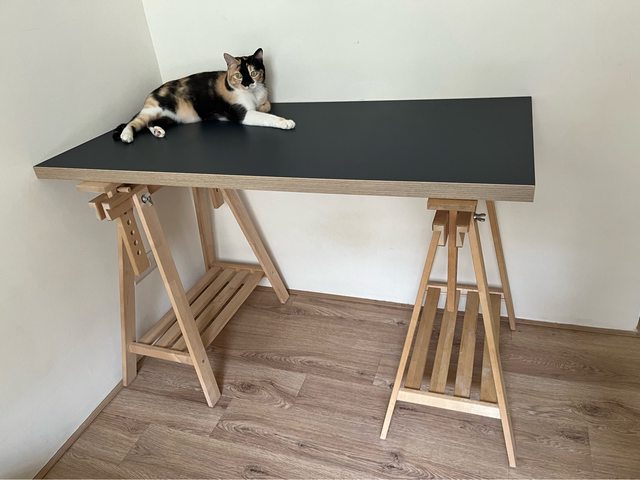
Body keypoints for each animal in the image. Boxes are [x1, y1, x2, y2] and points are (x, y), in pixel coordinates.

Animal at [113, 48, 295, 143]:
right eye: (238, 75)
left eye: (254, 72)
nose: (247, 84)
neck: (254, 94)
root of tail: (151, 93)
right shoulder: (242, 113)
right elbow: (268, 117)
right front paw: (286, 122)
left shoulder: (263, 100)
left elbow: (267, 106)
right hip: (154, 109)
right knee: (134, 122)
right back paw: (126, 135)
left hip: (171, 117)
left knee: (150, 123)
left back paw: (158, 131)